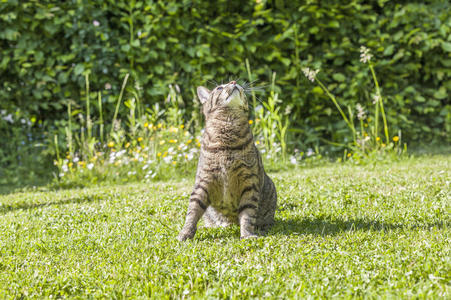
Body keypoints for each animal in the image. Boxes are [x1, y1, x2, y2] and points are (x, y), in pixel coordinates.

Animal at [177, 81, 278, 240]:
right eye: (219, 87)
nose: (234, 82)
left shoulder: (250, 183)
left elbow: (248, 214)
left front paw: (247, 234)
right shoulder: (203, 183)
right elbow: (192, 211)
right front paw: (185, 232)